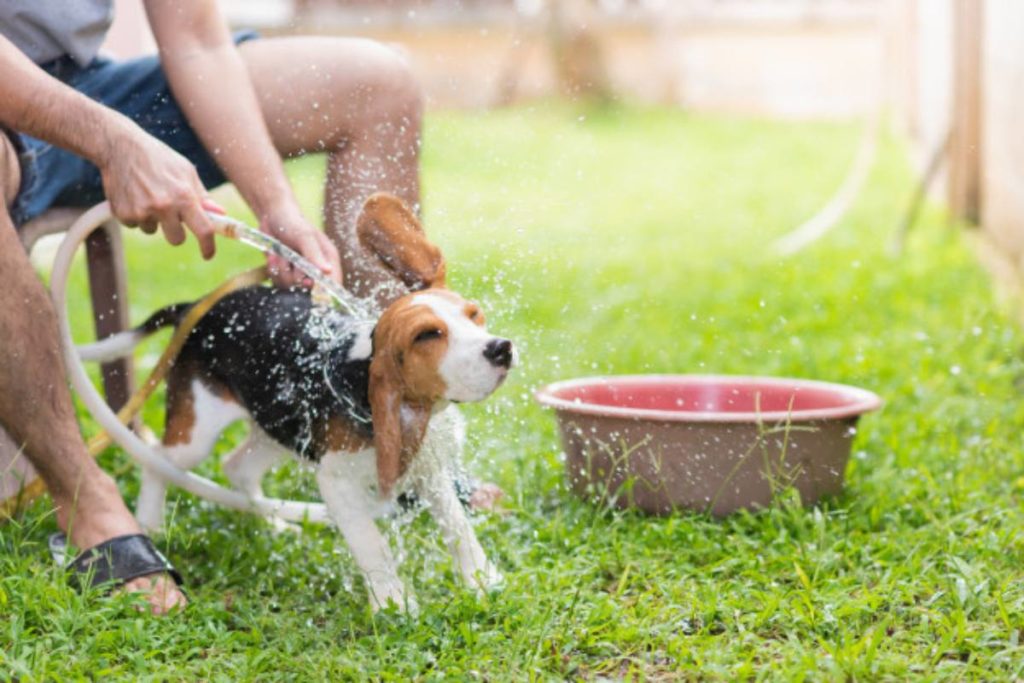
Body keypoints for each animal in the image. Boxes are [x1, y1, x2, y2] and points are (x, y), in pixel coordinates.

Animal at [81, 193, 512, 614]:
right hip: (198, 430)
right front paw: (392, 603)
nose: (501, 349)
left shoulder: (428, 470)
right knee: (158, 458)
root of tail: (198, 308)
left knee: (235, 466)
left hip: (279, 428)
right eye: (426, 335)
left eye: (474, 315)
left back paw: (273, 525)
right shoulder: (336, 483)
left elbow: (457, 526)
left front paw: (482, 581)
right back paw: (149, 522)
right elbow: (372, 543)